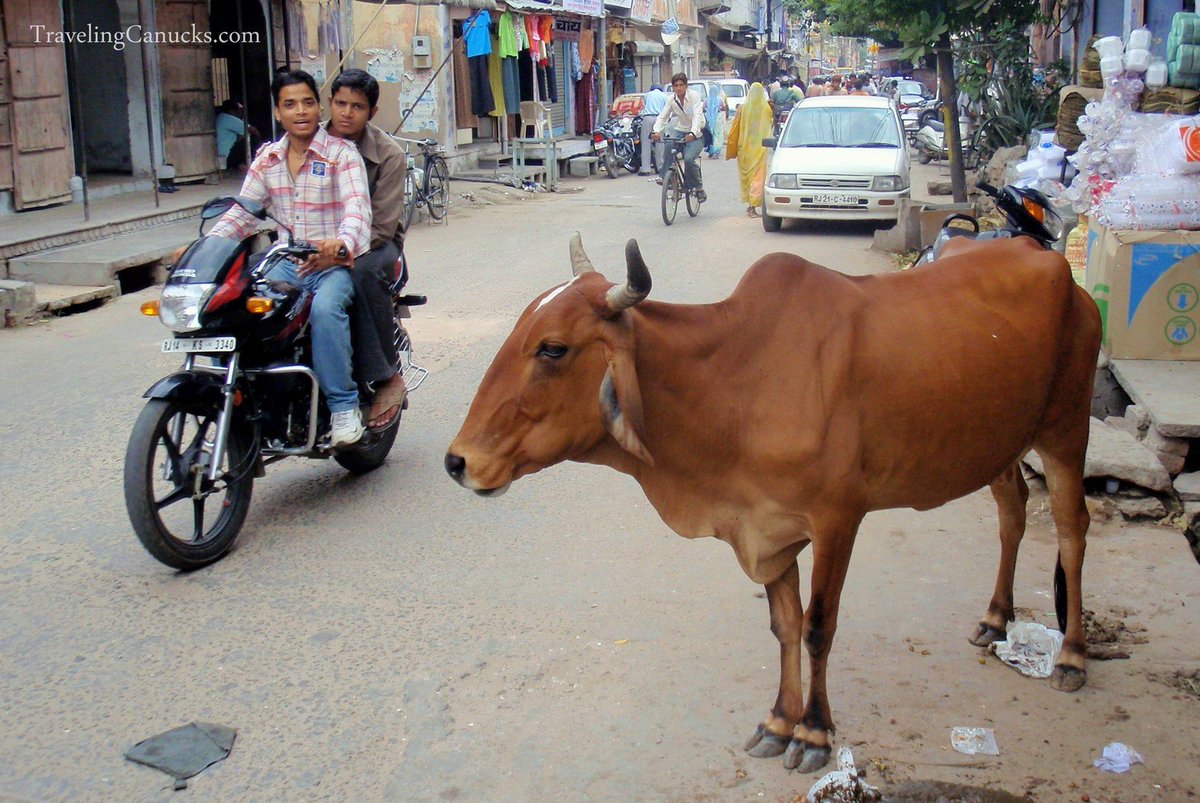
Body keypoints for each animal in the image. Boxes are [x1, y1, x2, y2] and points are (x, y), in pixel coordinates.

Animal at [445, 233, 1101, 773]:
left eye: (552, 349)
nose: (458, 462)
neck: (737, 382)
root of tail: (1054, 264)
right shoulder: (766, 527)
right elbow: (782, 625)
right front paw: (779, 721)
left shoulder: (838, 519)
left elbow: (817, 627)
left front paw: (813, 732)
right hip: (1000, 443)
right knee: (1013, 511)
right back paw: (995, 619)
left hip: (1066, 430)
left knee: (1073, 529)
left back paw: (1072, 656)